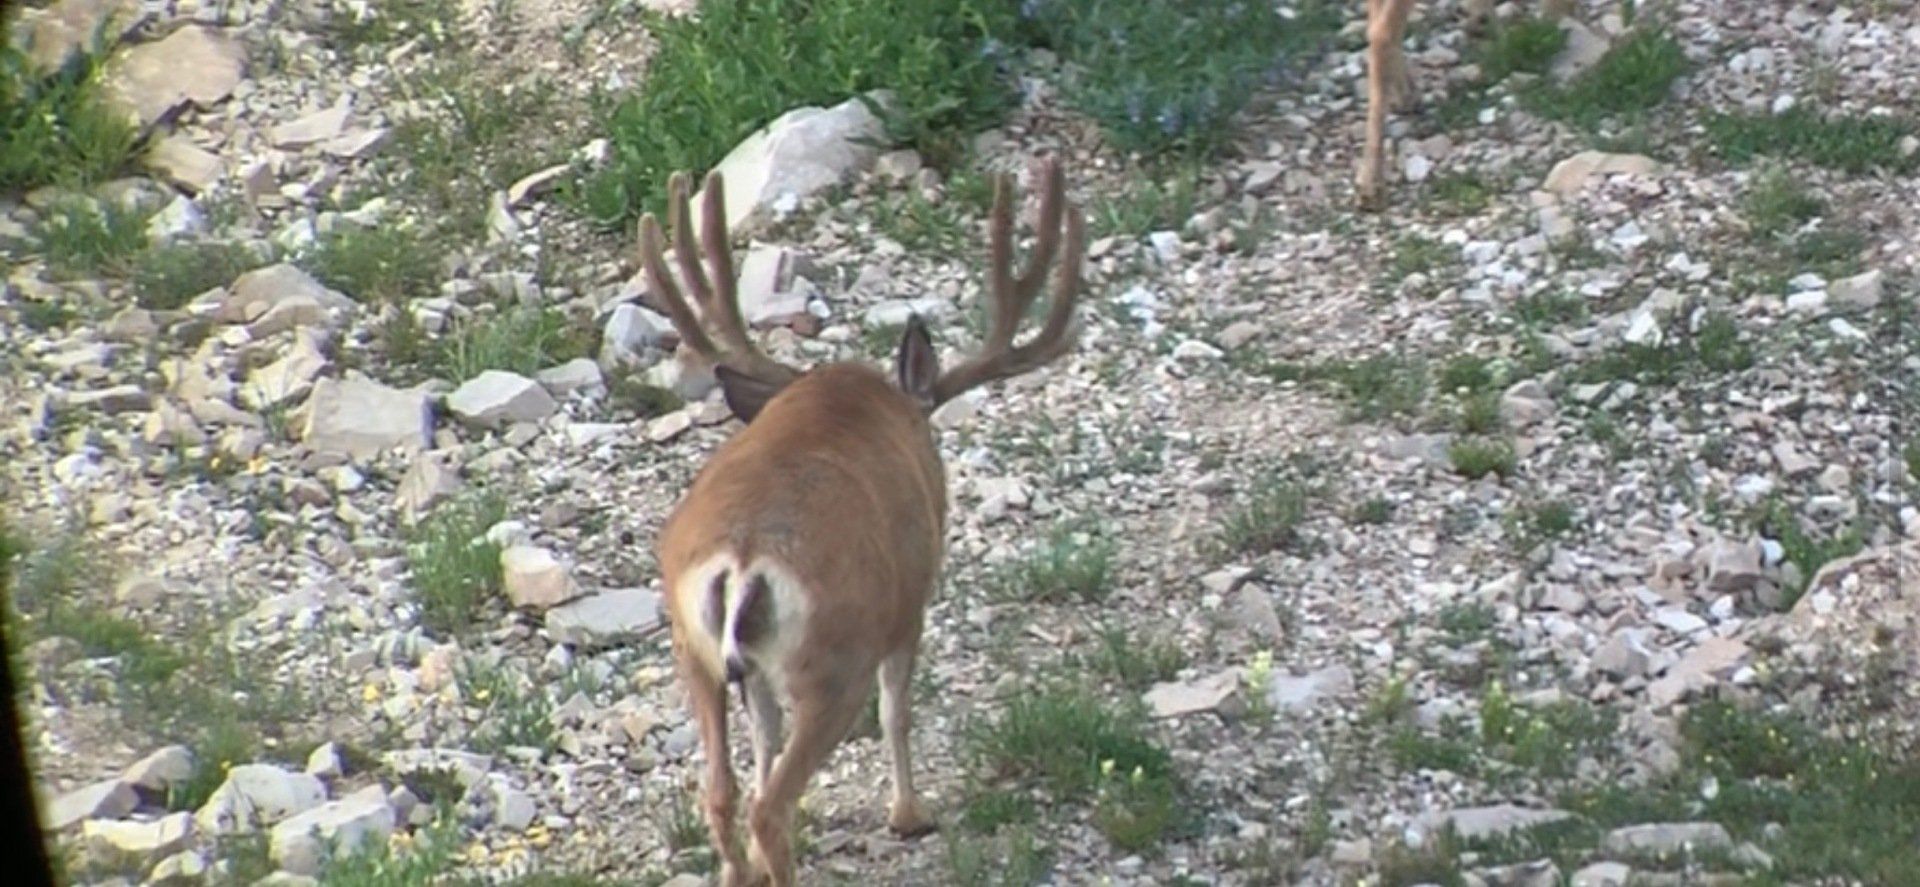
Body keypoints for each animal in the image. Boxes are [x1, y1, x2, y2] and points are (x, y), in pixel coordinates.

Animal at [642, 157, 1085, 887]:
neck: (849, 399)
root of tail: (742, 557)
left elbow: (762, 736)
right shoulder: (908, 603)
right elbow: (897, 707)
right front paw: (909, 814)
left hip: (695, 648)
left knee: (723, 792)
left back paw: (743, 868)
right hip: (834, 660)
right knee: (773, 803)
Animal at [1357, 0, 1576, 209]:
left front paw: (1483, 24)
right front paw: (1554, 26)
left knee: (1375, 28)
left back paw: (1405, 95)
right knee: (1381, 34)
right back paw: (1372, 185)